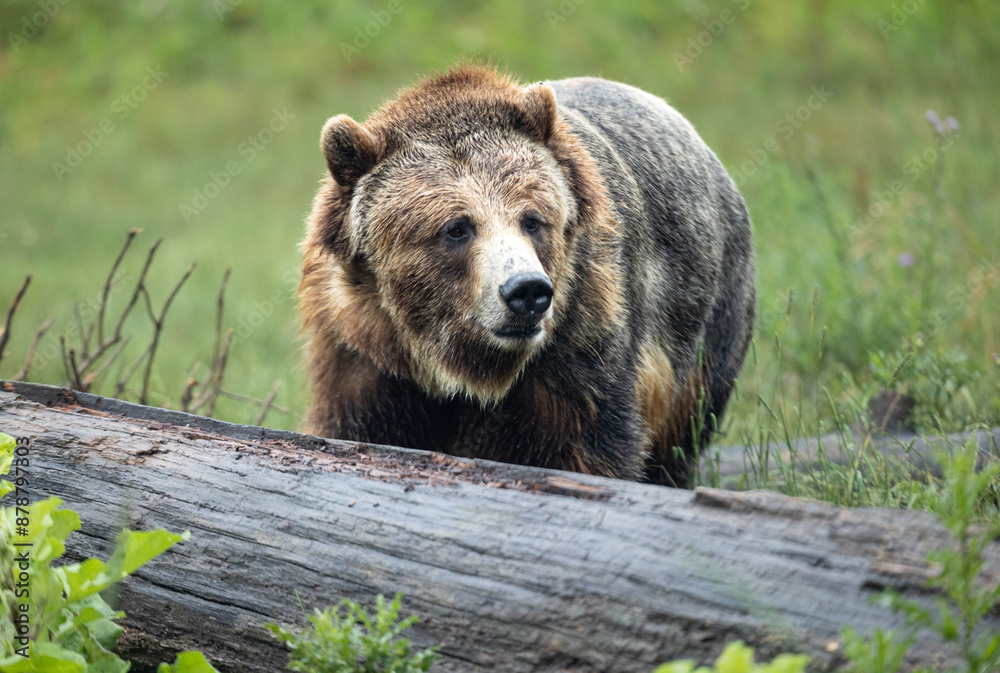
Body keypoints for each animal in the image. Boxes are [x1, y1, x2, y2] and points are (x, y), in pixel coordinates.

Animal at [298, 65, 755, 486]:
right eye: (457, 228)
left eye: (532, 219)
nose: (527, 291)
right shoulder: (363, 351)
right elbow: (359, 426)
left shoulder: (577, 344)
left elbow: (587, 446)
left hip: (705, 329)